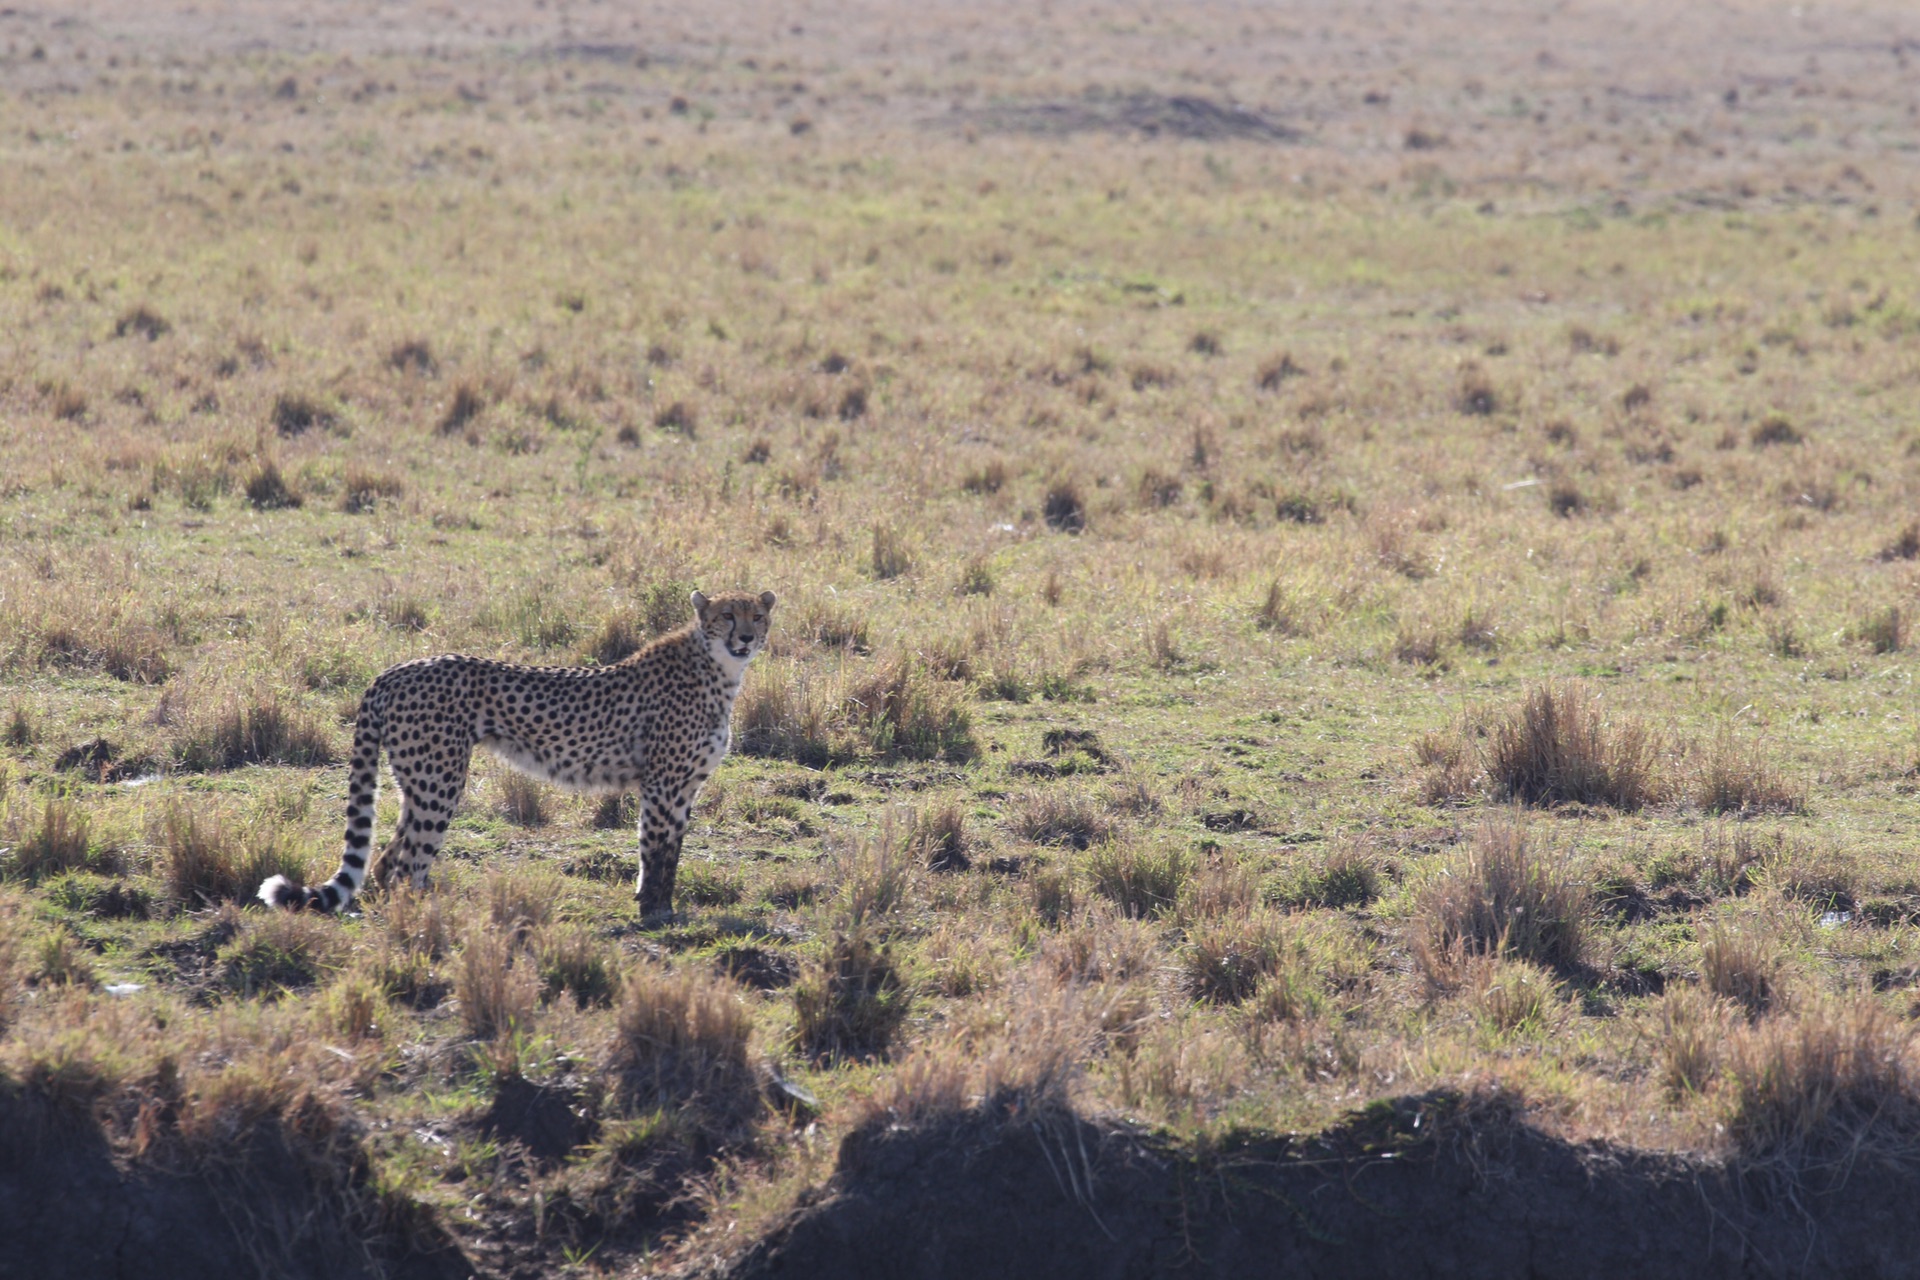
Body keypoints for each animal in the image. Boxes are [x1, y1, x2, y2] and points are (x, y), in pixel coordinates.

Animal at [259, 591, 775, 921]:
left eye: (757, 616)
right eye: (727, 615)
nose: (747, 639)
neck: (718, 669)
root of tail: (397, 668)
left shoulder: (684, 787)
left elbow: (668, 850)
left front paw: (658, 904)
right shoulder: (663, 785)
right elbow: (657, 846)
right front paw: (654, 911)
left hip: (418, 780)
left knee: (388, 861)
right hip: (440, 781)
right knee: (410, 863)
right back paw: (428, 923)